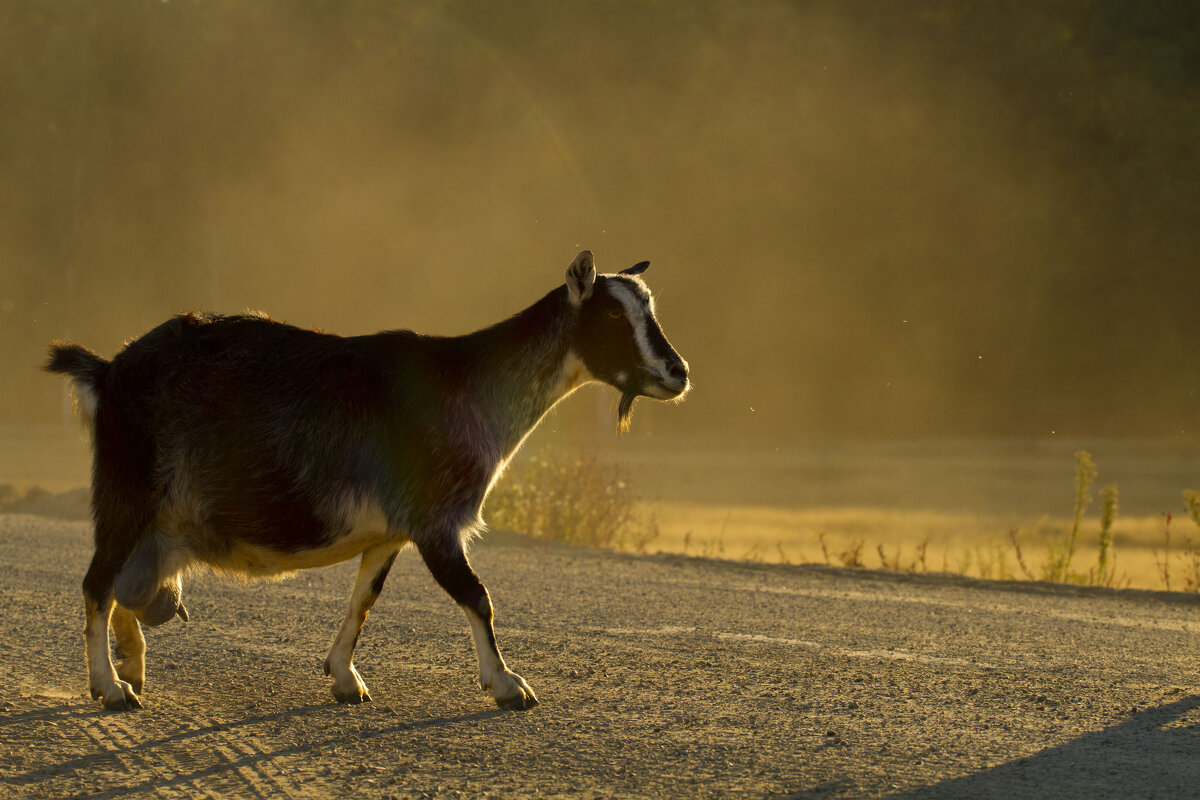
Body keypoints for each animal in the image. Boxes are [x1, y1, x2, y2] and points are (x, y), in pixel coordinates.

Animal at [44, 251, 696, 714]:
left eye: (651, 310)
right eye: (611, 316)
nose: (677, 372)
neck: (469, 383)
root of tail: (107, 370)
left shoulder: (389, 532)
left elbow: (363, 600)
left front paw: (344, 678)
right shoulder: (435, 519)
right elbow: (476, 595)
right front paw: (508, 684)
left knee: (127, 588)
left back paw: (132, 663)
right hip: (125, 493)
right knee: (97, 584)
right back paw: (111, 688)